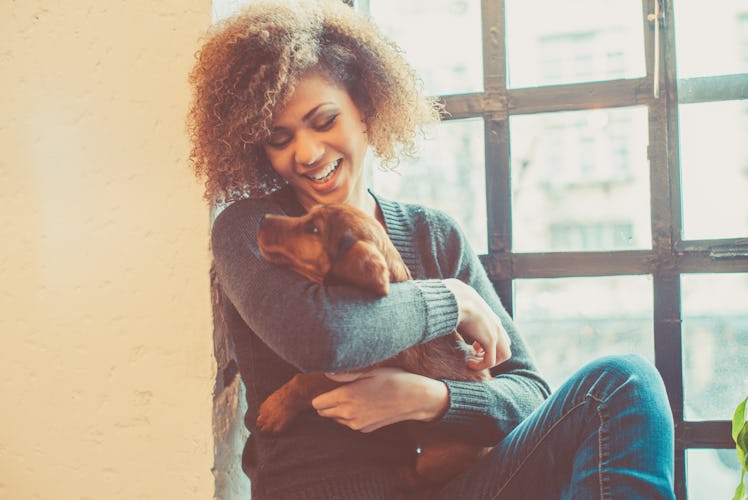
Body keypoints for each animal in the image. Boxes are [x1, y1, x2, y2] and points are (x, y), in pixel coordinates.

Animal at [254, 202, 494, 488]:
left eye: (313, 229)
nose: (262, 219)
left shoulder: (347, 370)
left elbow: (304, 380)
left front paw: (274, 410)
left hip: (438, 459)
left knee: (423, 478)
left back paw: (404, 473)